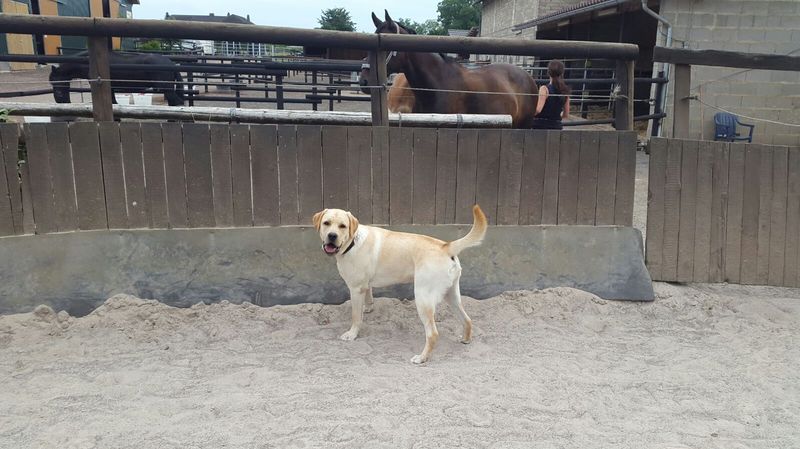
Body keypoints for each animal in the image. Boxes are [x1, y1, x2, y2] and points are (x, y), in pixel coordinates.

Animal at [49, 51, 185, 106]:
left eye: (56, 80)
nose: (61, 100)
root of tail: (170, 63)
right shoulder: (111, 89)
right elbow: (114, 103)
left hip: (166, 89)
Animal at [313, 205, 487, 364]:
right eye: (326, 223)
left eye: (343, 226)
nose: (332, 236)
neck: (353, 241)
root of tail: (446, 246)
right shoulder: (364, 286)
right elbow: (369, 297)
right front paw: (368, 309)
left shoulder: (355, 289)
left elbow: (356, 317)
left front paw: (352, 334)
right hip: (452, 296)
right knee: (467, 320)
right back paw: (465, 340)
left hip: (423, 299)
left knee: (432, 334)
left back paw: (422, 358)